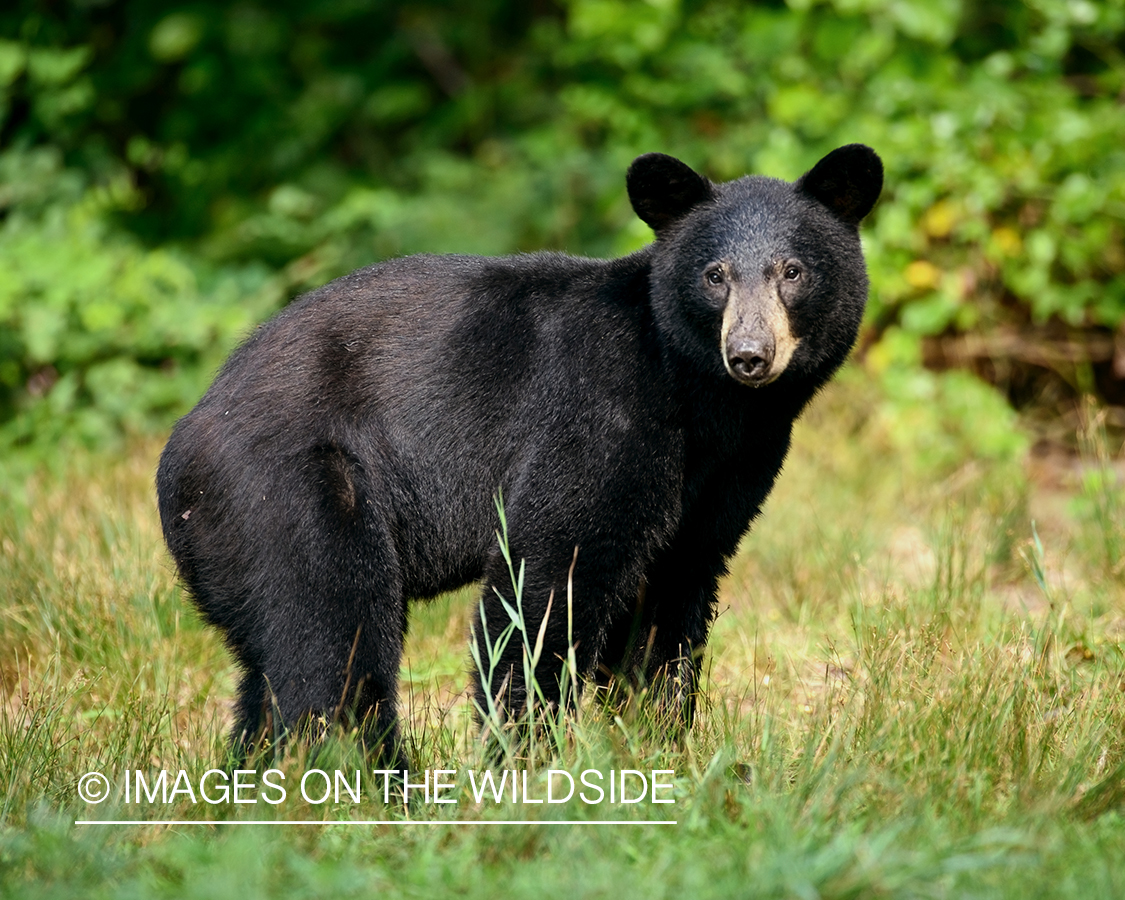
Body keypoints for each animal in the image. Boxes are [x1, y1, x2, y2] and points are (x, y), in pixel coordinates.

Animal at [156, 146, 877, 760]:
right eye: (715, 275)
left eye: (792, 271)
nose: (749, 355)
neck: (703, 400)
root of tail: (182, 445)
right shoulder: (598, 410)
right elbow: (546, 574)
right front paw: (527, 757)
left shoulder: (728, 473)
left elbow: (671, 599)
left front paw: (654, 744)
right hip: (290, 495)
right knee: (331, 639)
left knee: (269, 671)